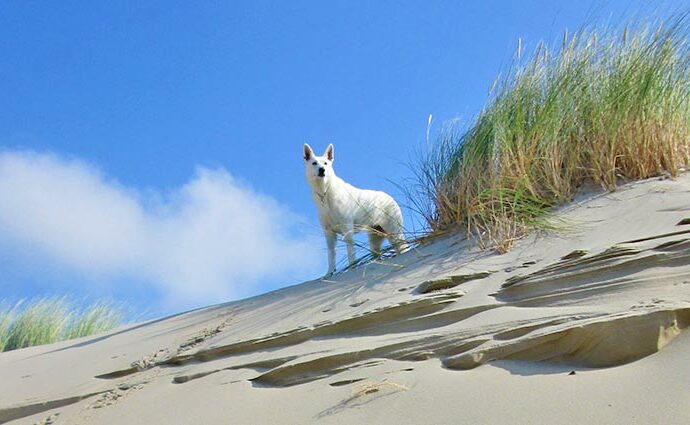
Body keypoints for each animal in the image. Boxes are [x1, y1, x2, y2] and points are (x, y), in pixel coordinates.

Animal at [300, 142, 404, 274]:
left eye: (326, 163)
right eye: (314, 163)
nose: (322, 170)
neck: (325, 192)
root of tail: (391, 198)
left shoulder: (347, 231)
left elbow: (351, 254)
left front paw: (352, 269)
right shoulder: (329, 234)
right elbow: (331, 257)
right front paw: (329, 273)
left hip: (394, 233)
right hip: (375, 238)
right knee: (377, 253)